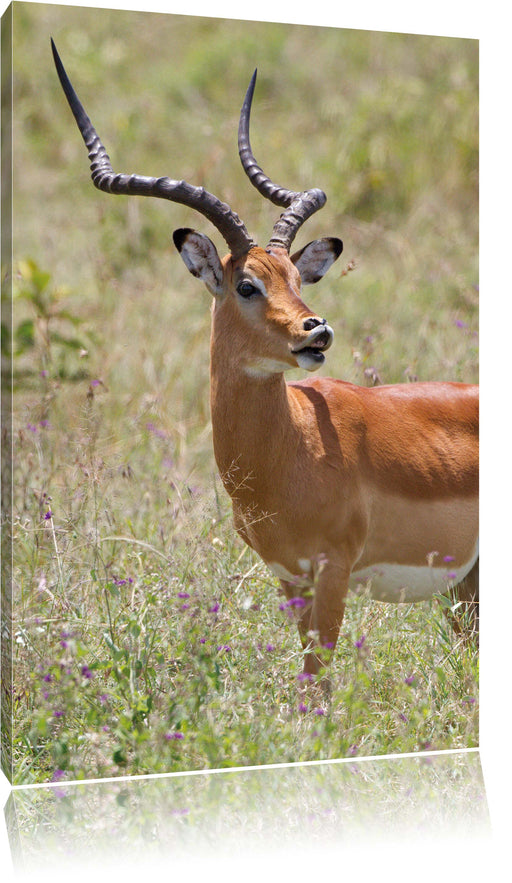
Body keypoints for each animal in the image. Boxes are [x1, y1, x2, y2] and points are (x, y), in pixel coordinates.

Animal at [53, 41, 480, 676]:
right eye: (247, 284)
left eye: (296, 280)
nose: (317, 331)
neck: (293, 447)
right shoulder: (290, 578)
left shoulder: (332, 571)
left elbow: (316, 682)